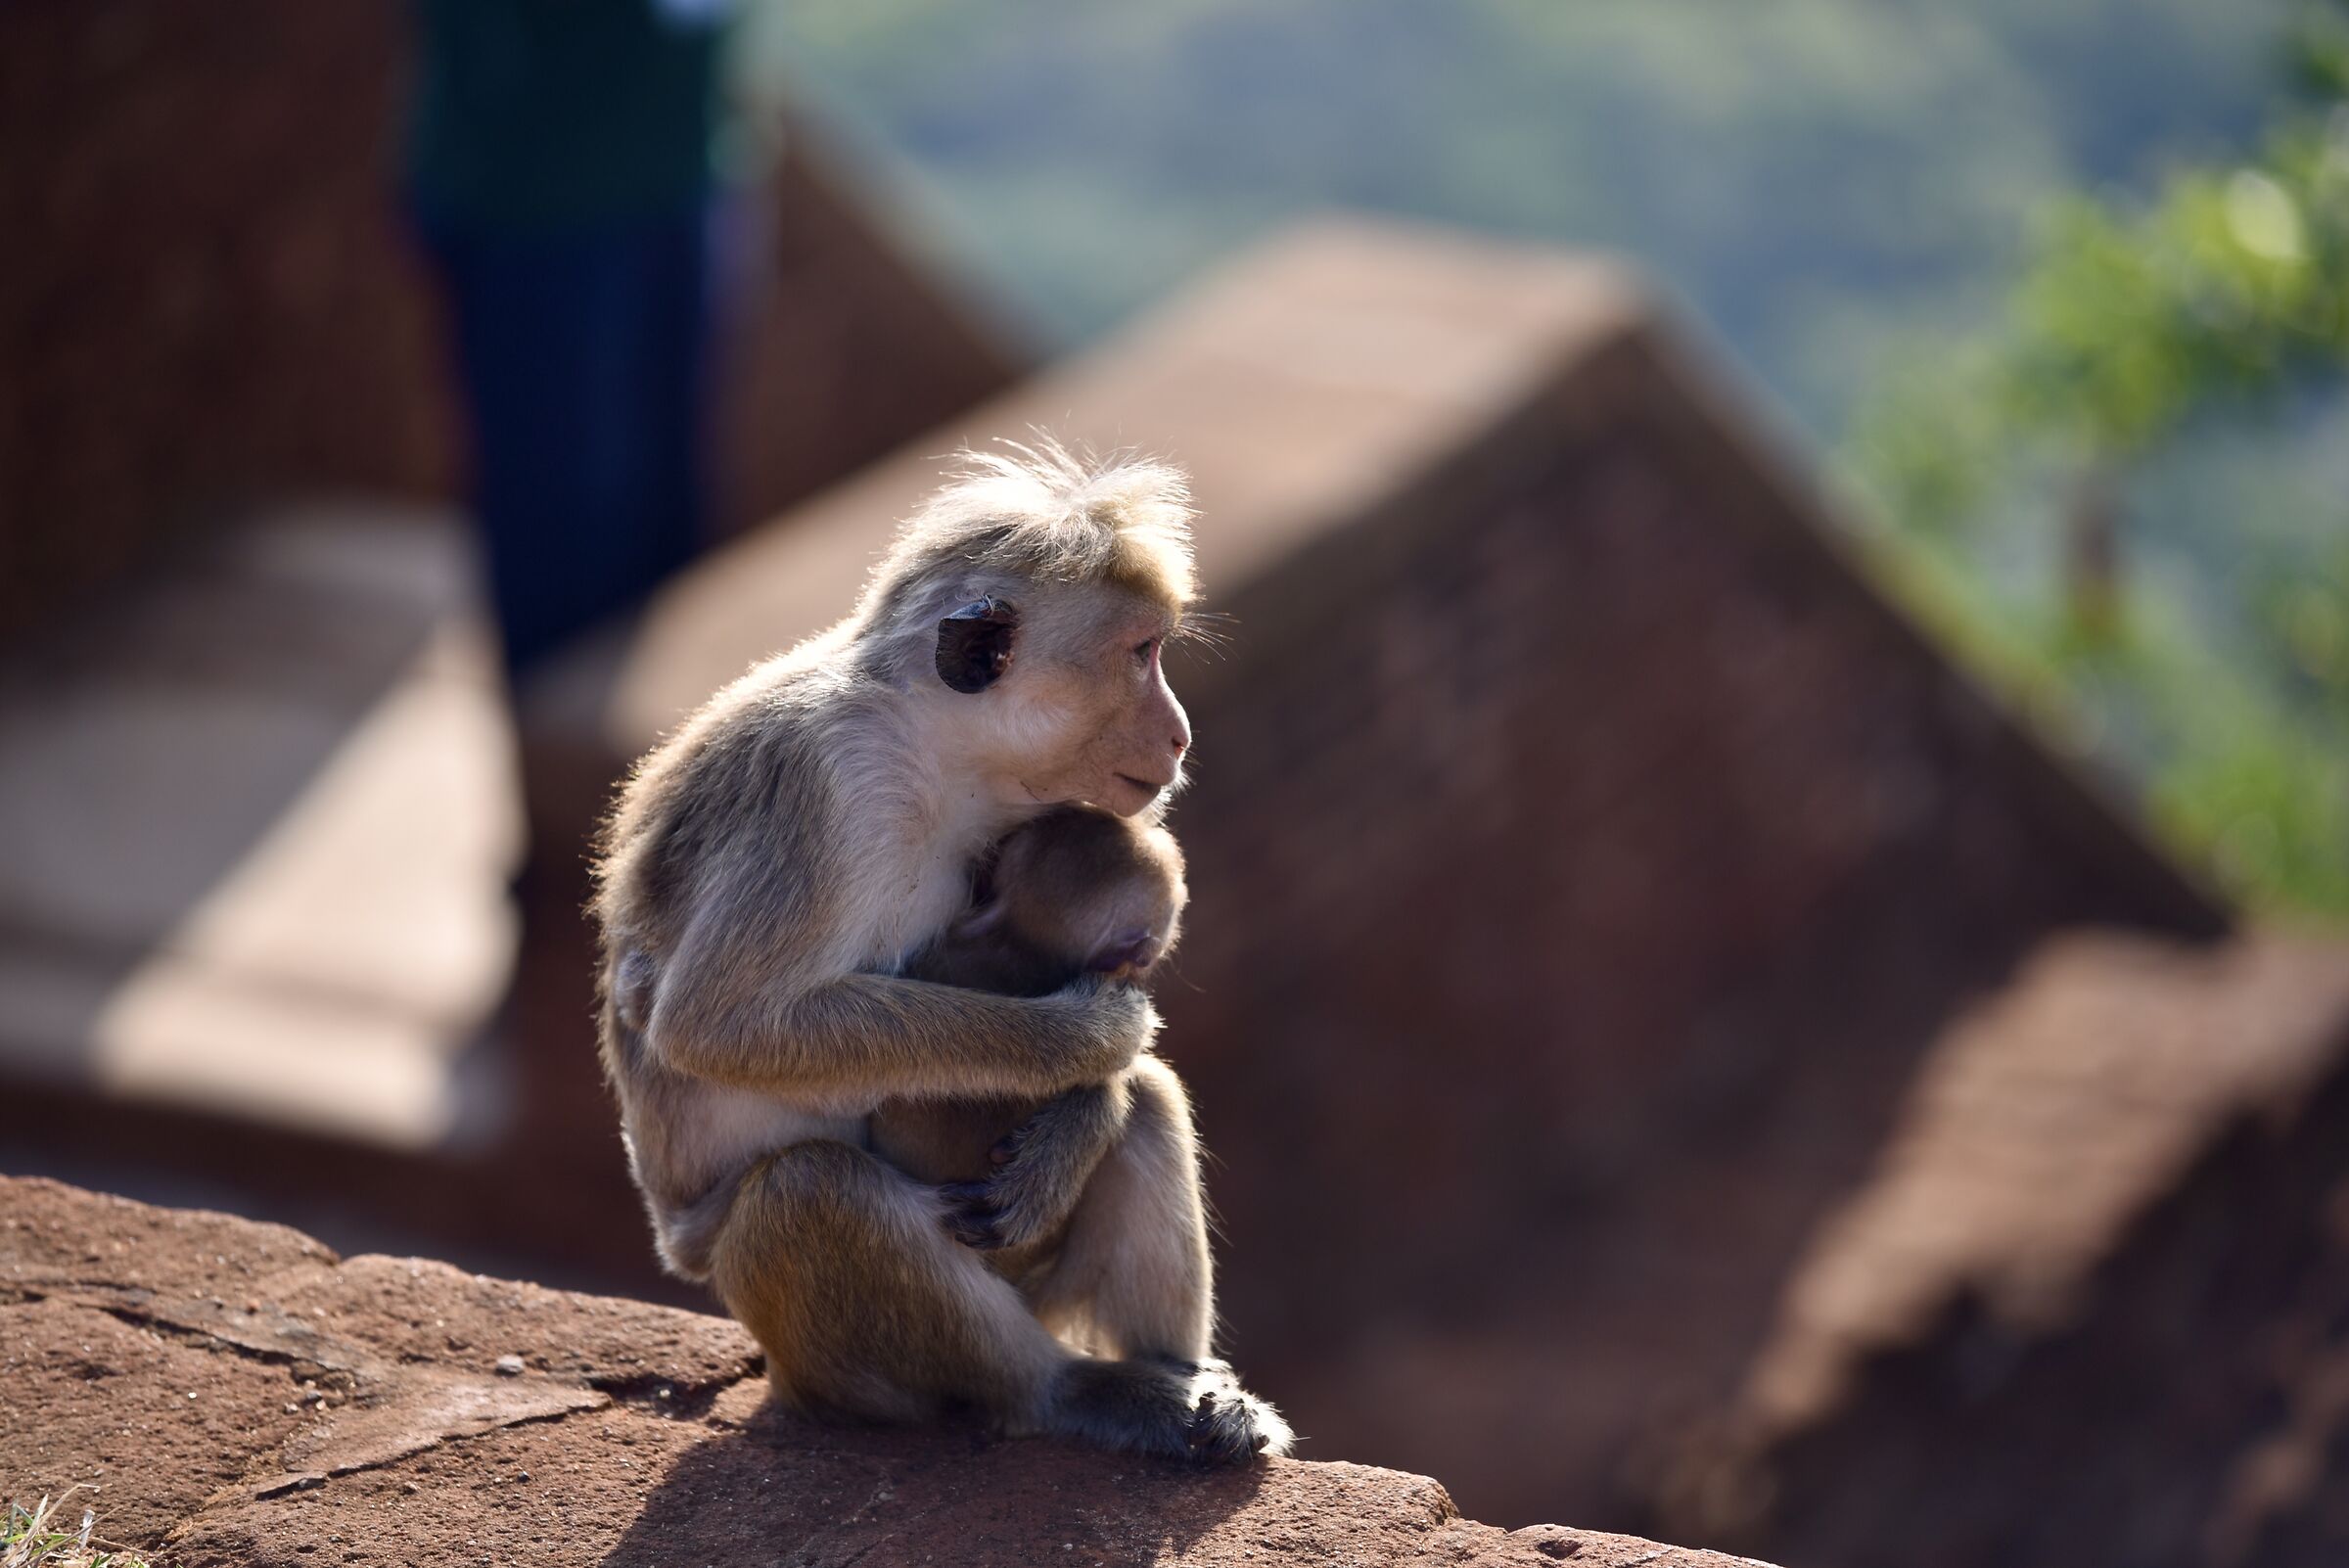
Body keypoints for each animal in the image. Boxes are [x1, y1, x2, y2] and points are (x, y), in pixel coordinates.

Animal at [592, 444, 1291, 1465]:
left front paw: (1084, 1109)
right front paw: (1081, 1041)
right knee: (814, 1191)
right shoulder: (825, 780)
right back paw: (1074, 1391)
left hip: (1039, 1283)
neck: (934, 749)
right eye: (1141, 653)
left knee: (1151, 1104)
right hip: (817, 1346)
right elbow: (720, 1024)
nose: (1180, 732)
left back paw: (1182, 1377)